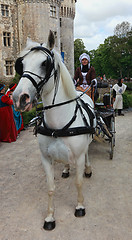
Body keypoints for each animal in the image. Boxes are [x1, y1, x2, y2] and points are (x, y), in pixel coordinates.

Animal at [12, 30, 96, 231]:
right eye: (21, 64)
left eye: (45, 63)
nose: (19, 98)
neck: (58, 126)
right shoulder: (46, 158)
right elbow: (50, 188)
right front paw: (50, 217)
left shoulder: (78, 156)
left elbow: (78, 182)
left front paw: (80, 206)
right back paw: (65, 169)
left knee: (87, 152)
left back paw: (88, 169)